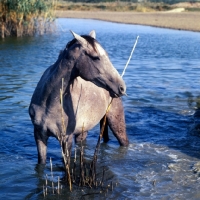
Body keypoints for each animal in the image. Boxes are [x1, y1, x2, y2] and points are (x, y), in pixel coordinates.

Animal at [28, 30, 129, 164]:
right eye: (96, 57)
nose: (122, 87)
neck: (48, 104)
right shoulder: (39, 136)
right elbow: (41, 164)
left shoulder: (66, 139)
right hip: (84, 131)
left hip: (116, 124)